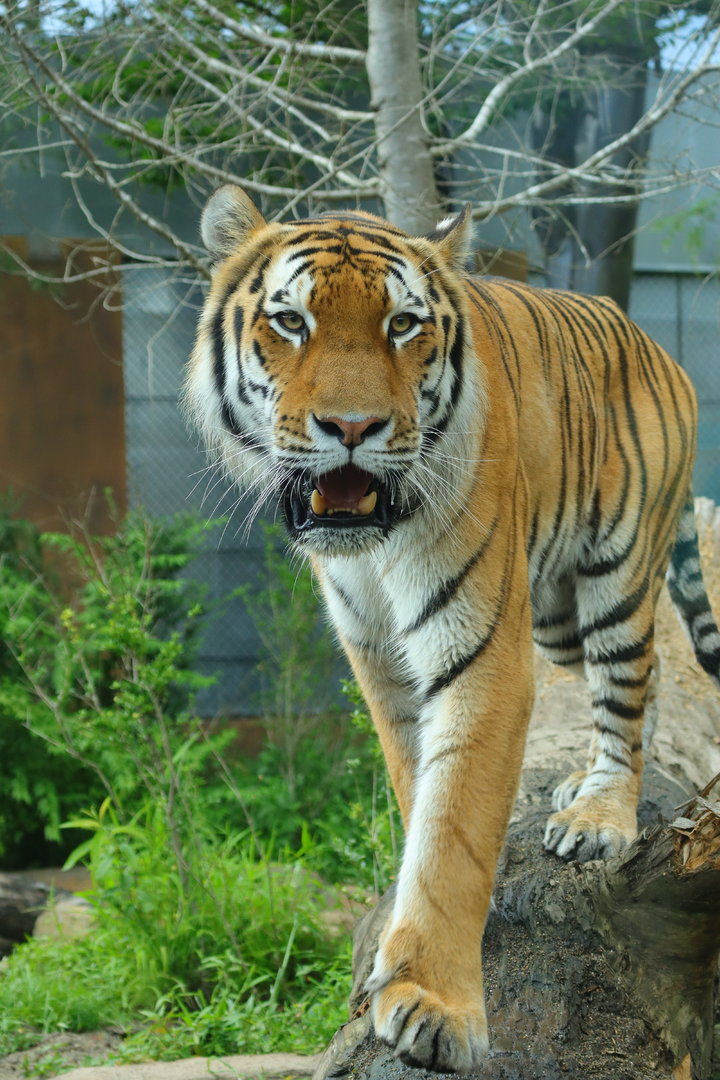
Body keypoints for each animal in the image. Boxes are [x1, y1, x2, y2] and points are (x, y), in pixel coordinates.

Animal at [184, 184, 720, 1073]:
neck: (371, 548)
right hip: (554, 611)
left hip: (616, 572)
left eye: (404, 324)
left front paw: (435, 1005)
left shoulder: (479, 654)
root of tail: (650, 339)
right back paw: (576, 786)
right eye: (291, 321)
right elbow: (418, 788)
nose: (353, 427)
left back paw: (599, 815)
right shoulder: (379, 658)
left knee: (628, 697)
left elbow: (457, 819)